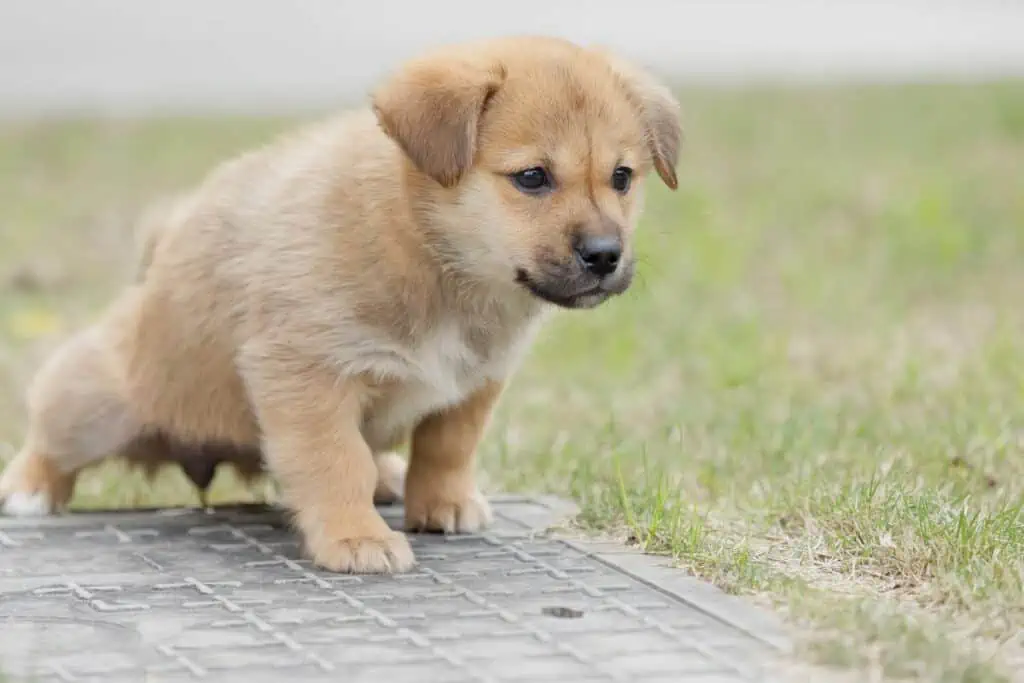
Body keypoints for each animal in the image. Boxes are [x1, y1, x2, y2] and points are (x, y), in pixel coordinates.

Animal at [2, 36, 688, 573]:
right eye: (532, 178)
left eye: (622, 177)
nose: (604, 255)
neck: (435, 260)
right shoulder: (307, 375)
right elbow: (335, 463)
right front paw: (355, 538)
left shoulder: (476, 384)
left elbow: (447, 449)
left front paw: (441, 504)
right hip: (96, 403)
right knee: (50, 435)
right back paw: (29, 489)